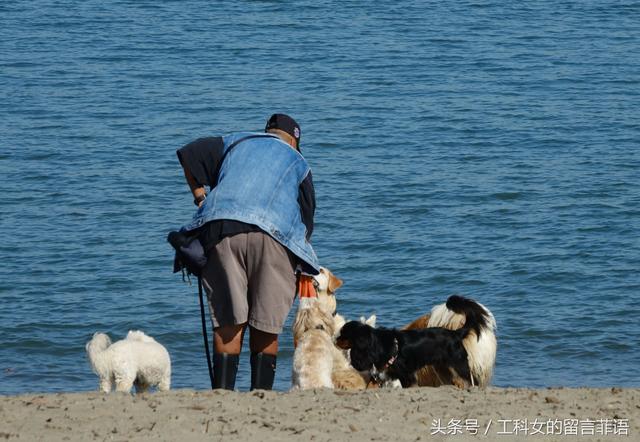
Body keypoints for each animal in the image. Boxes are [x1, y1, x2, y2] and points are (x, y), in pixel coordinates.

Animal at [338, 296, 492, 388]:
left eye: (343, 336)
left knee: (472, 379)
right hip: (442, 368)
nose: (335, 339)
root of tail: (455, 333)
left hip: (459, 364)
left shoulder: (406, 376)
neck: (377, 344)